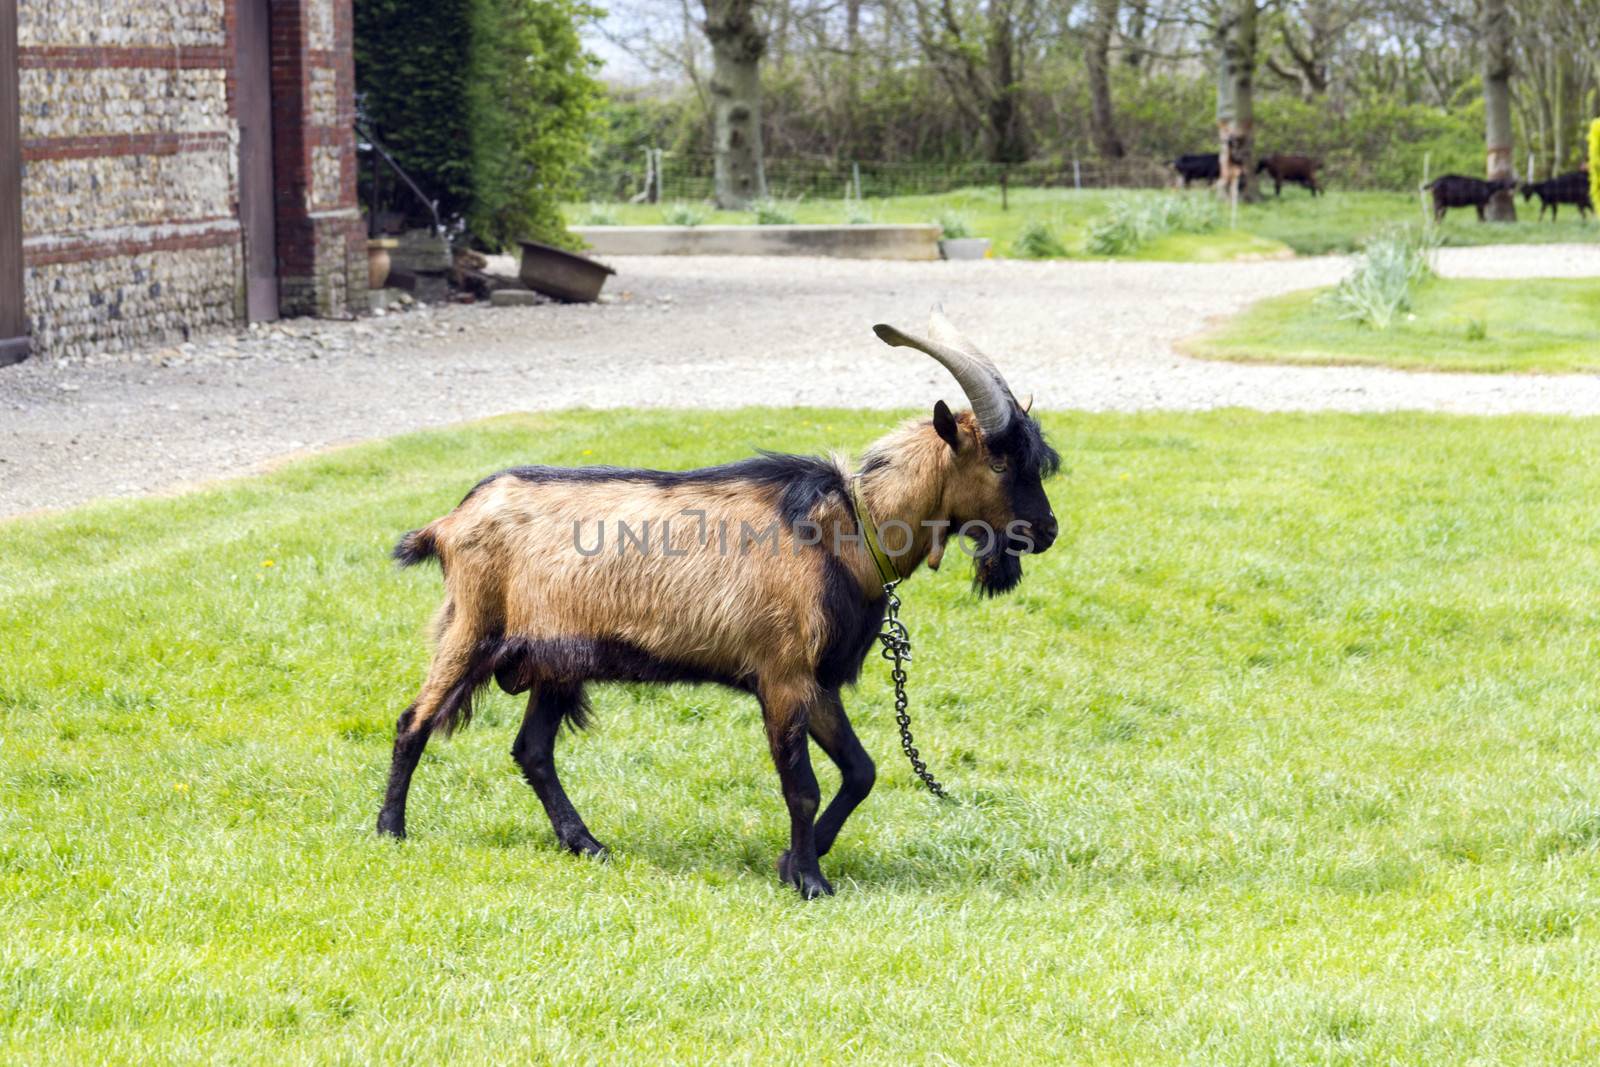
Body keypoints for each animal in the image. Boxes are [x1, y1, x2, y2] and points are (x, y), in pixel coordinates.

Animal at [377, 313, 1062, 895]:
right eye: (1000, 460)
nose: (1047, 531)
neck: (846, 527)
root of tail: (453, 518)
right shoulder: (782, 675)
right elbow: (803, 787)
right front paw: (810, 881)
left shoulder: (817, 681)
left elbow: (861, 771)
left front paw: (793, 860)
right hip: (474, 629)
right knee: (414, 721)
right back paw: (391, 831)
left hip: (555, 659)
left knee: (533, 752)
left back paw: (586, 844)